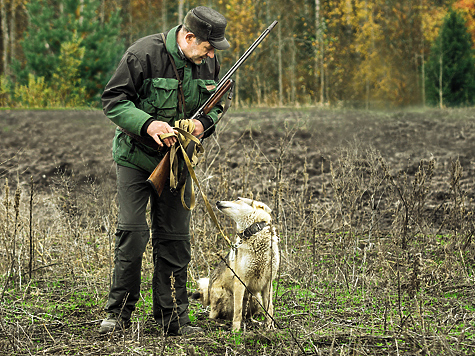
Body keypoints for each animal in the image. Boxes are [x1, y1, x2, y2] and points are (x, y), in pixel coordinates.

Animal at [192, 197, 278, 330]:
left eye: (237, 199)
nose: (217, 202)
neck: (253, 233)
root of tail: (208, 293)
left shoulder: (268, 284)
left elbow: (270, 309)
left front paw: (270, 327)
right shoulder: (240, 282)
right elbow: (237, 310)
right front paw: (235, 330)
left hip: (255, 298)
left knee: (247, 316)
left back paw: (255, 323)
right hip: (224, 296)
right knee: (215, 315)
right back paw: (221, 323)